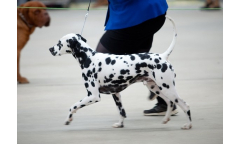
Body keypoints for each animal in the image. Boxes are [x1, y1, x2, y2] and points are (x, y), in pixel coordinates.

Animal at [49, 15, 192, 129]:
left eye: (59, 43)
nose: (50, 49)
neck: (89, 58)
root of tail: (163, 56)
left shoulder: (93, 96)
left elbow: (73, 106)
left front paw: (68, 119)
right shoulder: (116, 94)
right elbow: (122, 112)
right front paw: (120, 124)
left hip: (168, 88)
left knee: (185, 105)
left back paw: (188, 125)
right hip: (156, 88)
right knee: (169, 103)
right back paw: (166, 119)